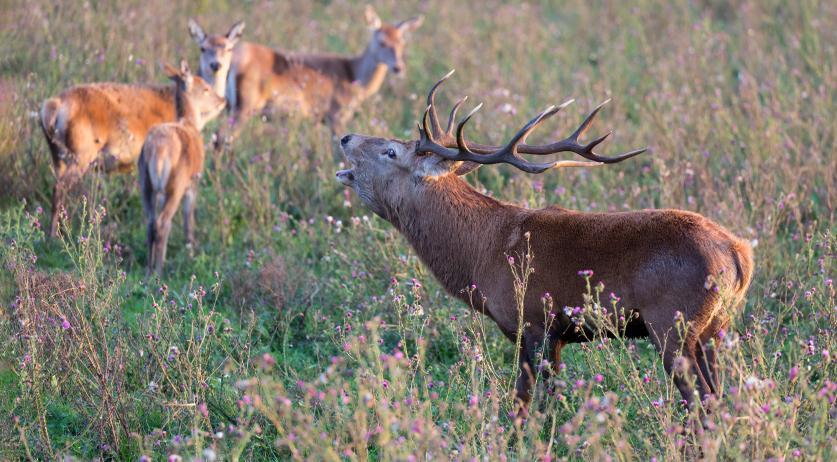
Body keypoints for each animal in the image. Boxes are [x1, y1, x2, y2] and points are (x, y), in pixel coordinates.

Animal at [39, 19, 242, 236]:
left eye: (229, 48)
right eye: (203, 48)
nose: (216, 65)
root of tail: (51, 107)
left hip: (57, 153)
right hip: (82, 150)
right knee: (59, 188)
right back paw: (53, 236)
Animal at [139, 61, 227, 278]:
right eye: (205, 88)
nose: (222, 100)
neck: (191, 124)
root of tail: (158, 149)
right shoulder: (193, 184)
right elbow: (189, 221)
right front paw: (191, 251)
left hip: (145, 181)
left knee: (150, 222)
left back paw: (148, 270)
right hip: (176, 184)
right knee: (163, 222)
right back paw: (159, 272)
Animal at [222, 5, 422, 135]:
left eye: (402, 42)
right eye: (382, 42)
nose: (398, 67)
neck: (353, 76)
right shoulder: (336, 114)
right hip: (245, 105)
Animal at [336, 73, 756, 416]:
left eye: (391, 150)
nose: (345, 136)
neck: (481, 254)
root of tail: (740, 255)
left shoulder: (535, 323)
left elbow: (530, 405)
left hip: (672, 323)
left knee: (704, 402)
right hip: (714, 328)